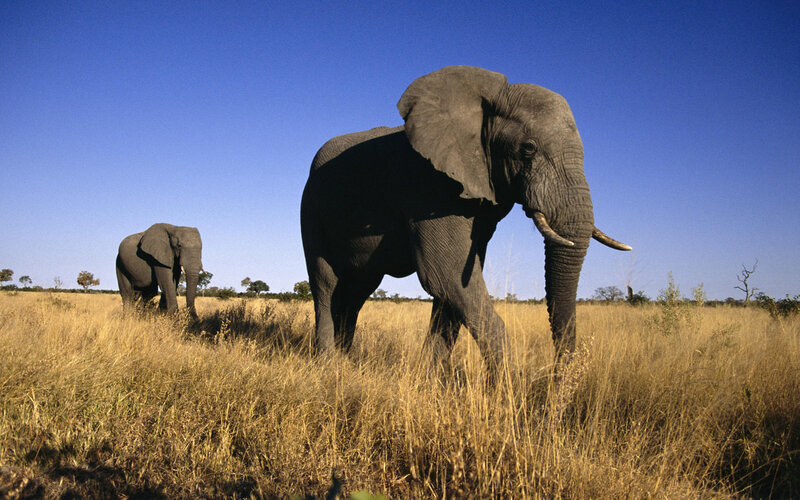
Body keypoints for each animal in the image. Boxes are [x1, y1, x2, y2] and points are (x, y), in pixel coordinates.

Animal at [300, 66, 630, 369]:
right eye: (528, 149)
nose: (557, 375)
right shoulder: (429, 185)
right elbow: (446, 276)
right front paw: (509, 386)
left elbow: (454, 285)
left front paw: (431, 379)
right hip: (311, 208)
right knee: (326, 283)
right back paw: (329, 364)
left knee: (358, 288)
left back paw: (347, 360)